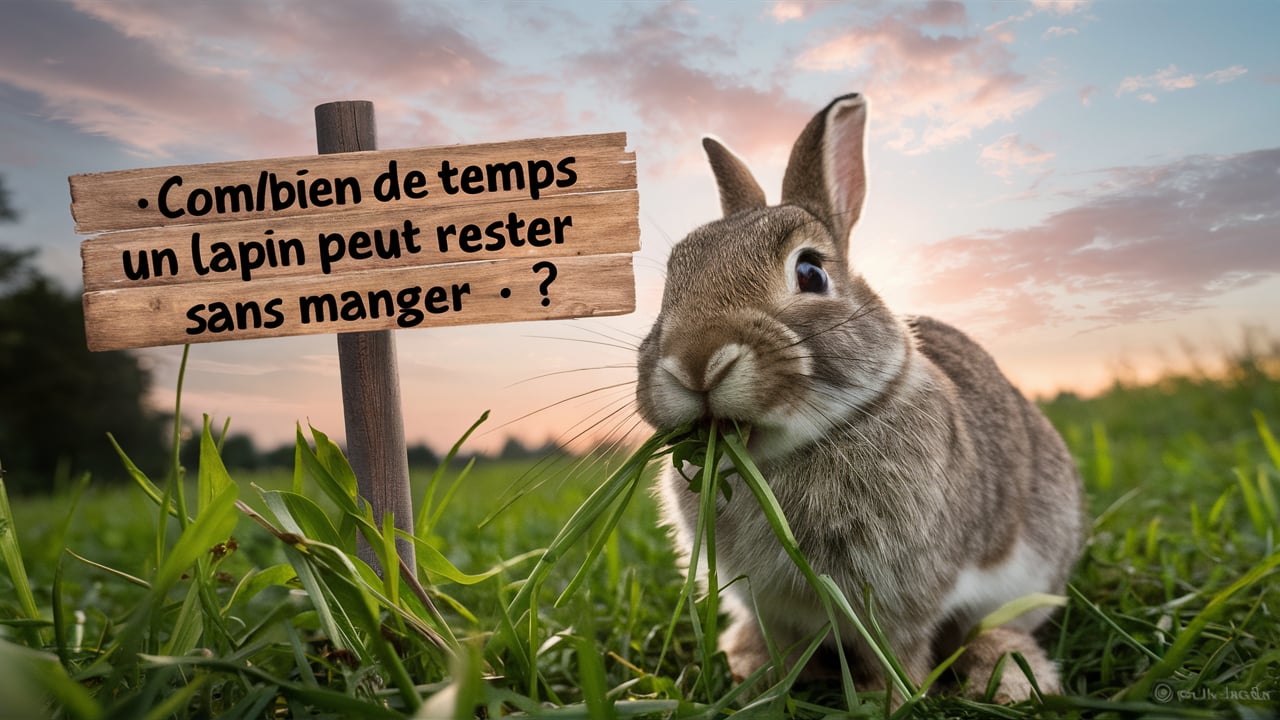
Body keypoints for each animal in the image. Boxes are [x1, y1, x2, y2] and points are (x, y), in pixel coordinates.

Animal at [635, 93, 1084, 703]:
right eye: (671, 282)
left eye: (811, 271)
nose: (695, 363)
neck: (779, 456)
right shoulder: (766, 603)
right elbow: (777, 639)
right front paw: (756, 679)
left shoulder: (903, 598)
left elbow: (898, 651)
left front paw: (889, 699)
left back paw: (1010, 677)